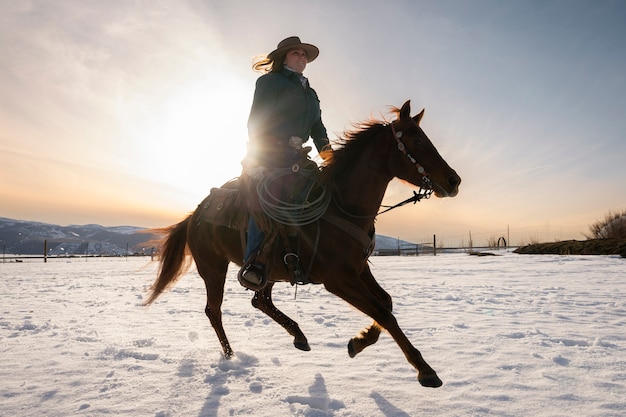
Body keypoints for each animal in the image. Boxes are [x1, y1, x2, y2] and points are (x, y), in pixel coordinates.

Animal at [145, 101, 458, 386]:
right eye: (417, 140)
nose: (454, 181)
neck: (342, 205)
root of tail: (195, 214)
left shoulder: (359, 269)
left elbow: (386, 303)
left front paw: (358, 342)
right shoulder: (338, 279)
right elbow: (384, 313)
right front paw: (424, 370)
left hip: (268, 269)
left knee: (260, 300)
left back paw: (299, 335)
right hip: (213, 267)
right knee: (215, 311)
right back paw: (231, 355)